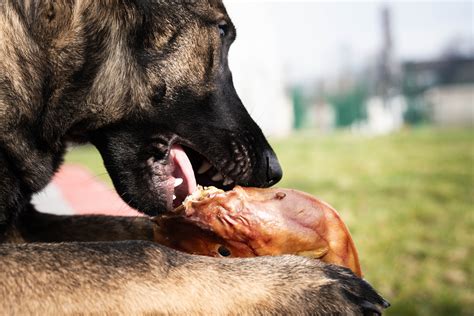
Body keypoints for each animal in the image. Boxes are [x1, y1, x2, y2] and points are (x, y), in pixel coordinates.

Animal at [0, 0, 388, 314]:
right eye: (222, 31)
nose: (273, 170)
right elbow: (138, 254)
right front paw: (301, 286)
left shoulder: (29, 224)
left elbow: (137, 231)